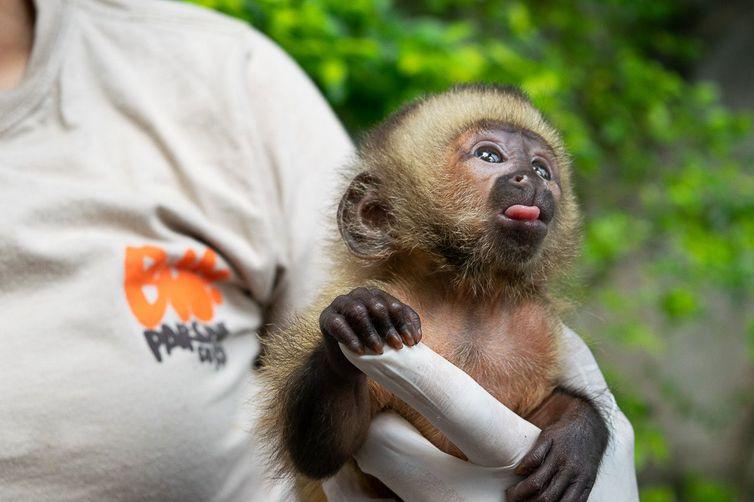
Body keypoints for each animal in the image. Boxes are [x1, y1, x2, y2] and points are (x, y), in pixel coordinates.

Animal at [260, 84, 609, 502]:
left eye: (543, 169)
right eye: (489, 156)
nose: (532, 179)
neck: (467, 298)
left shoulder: (536, 327)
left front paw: (577, 433)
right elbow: (321, 454)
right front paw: (360, 318)